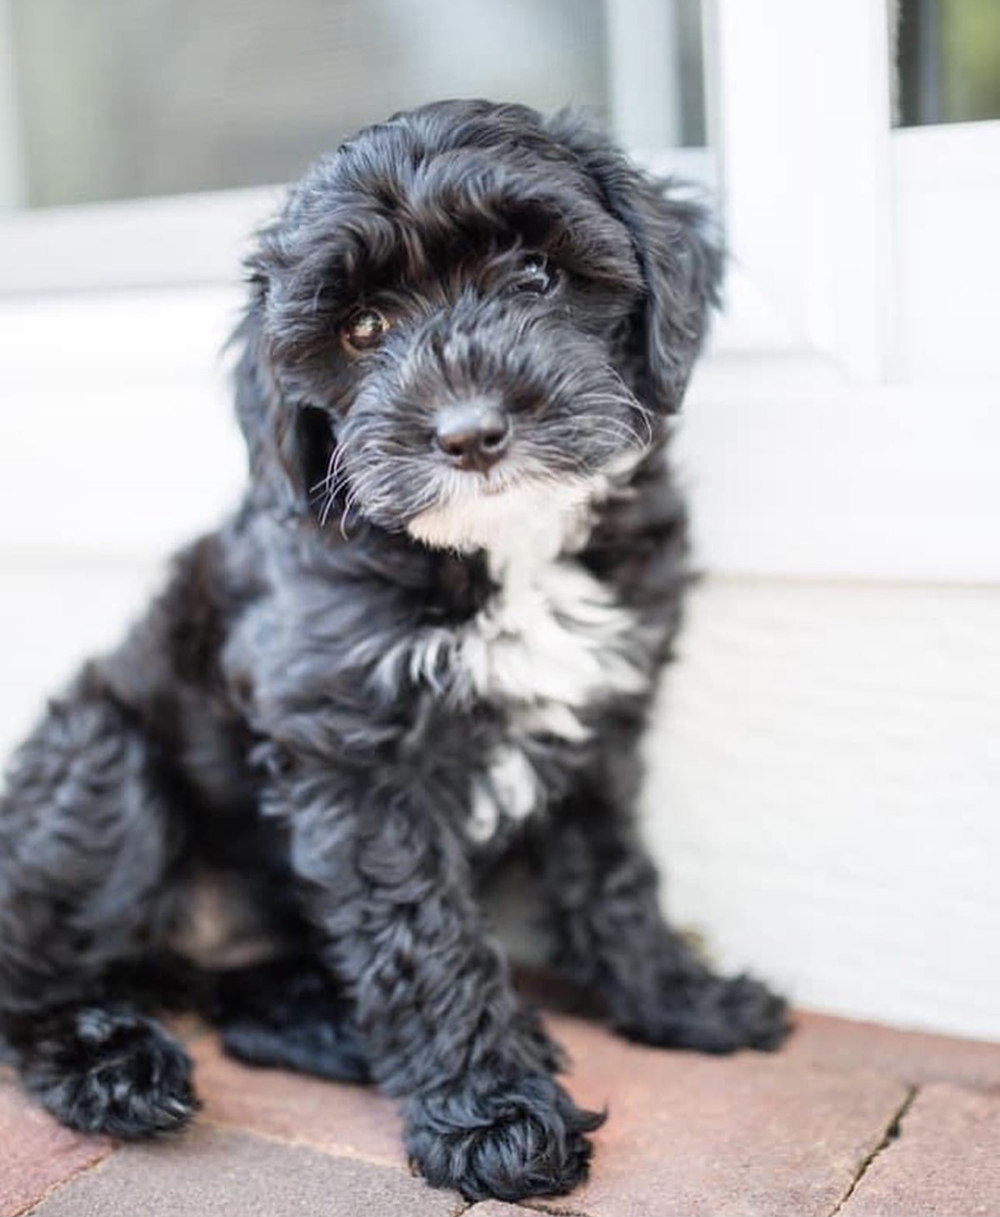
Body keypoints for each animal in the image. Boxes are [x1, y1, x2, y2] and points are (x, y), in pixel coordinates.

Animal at [0, 99, 793, 1202]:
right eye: (362, 328)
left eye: (536, 274)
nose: (468, 432)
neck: (501, 554)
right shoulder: (353, 757)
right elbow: (424, 934)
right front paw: (495, 1117)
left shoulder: (599, 722)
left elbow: (613, 873)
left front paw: (679, 996)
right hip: (101, 768)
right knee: (30, 975)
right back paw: (110, 1063)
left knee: (245, 999)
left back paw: (332, 1029)